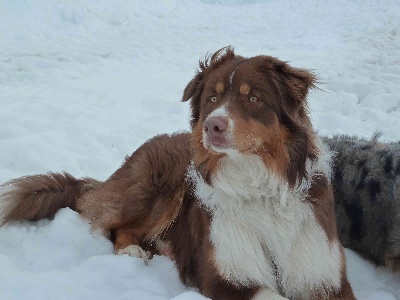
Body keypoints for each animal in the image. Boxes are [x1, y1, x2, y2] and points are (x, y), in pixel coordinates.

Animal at [0, 48, 356, 298]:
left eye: (253, 97)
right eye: (211, 98)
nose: (212, 126)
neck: (257, 186)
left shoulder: (322, 277)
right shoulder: (227, 276)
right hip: (159, 188)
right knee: (113, 226)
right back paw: (133, 249)